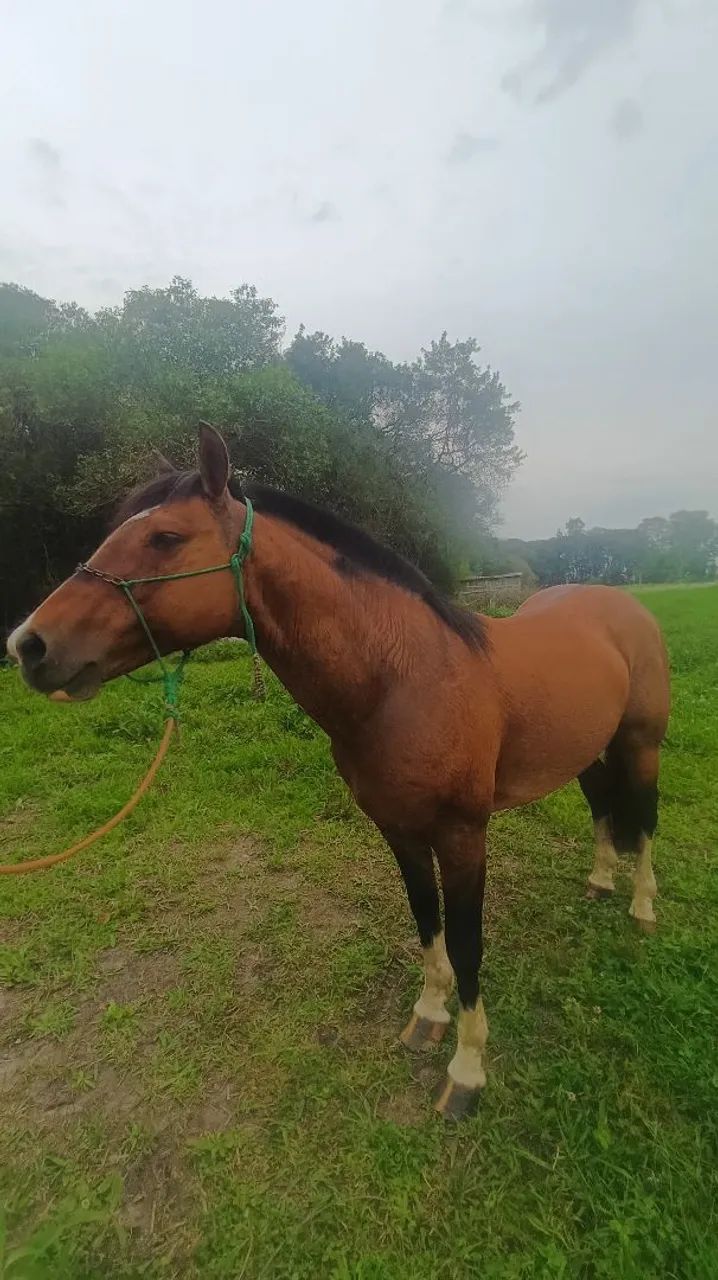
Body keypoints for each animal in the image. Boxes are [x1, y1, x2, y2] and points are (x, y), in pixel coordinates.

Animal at [7, 424, 670, 1119]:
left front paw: (466, 1070)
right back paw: (600, 880)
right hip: (588, 751)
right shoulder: (398, 830)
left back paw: (642, 906)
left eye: (165, 537)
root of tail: (613, 601)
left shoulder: (463, 836)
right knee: (603, 806)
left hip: (642, 744)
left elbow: (466, 944)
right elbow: (426, 919)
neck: (404, 679)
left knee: (647, 821)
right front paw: (428, 1018)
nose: (29, 645)